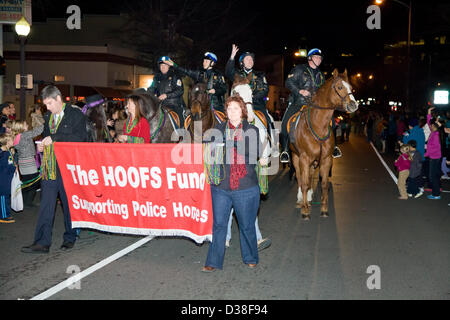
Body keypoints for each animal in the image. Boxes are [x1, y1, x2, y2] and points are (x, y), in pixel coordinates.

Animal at [292, 69, 358, 220]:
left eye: (351, 87)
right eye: (339, 87)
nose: (353, 105)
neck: (318, 126)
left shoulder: (326, 159)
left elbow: (323, 184)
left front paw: (323, 209)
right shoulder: (304, 159)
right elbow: (304, 183)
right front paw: (305, 210)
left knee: (310, 177)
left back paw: (309, 198)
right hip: (295, 157)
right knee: (300, 178)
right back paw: (300, 200)